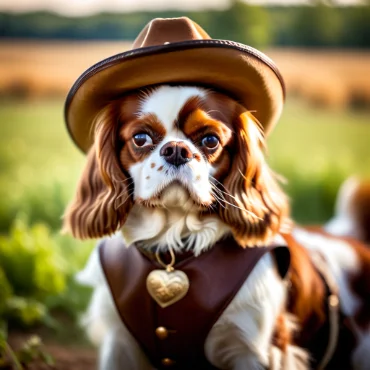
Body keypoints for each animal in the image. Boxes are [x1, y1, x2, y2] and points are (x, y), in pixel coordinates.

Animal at [63, 85, 370, 368]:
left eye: (210, 140)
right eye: (141, 138)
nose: (177, 150)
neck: (175, 245)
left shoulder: (255, 349)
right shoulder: (118, 342)